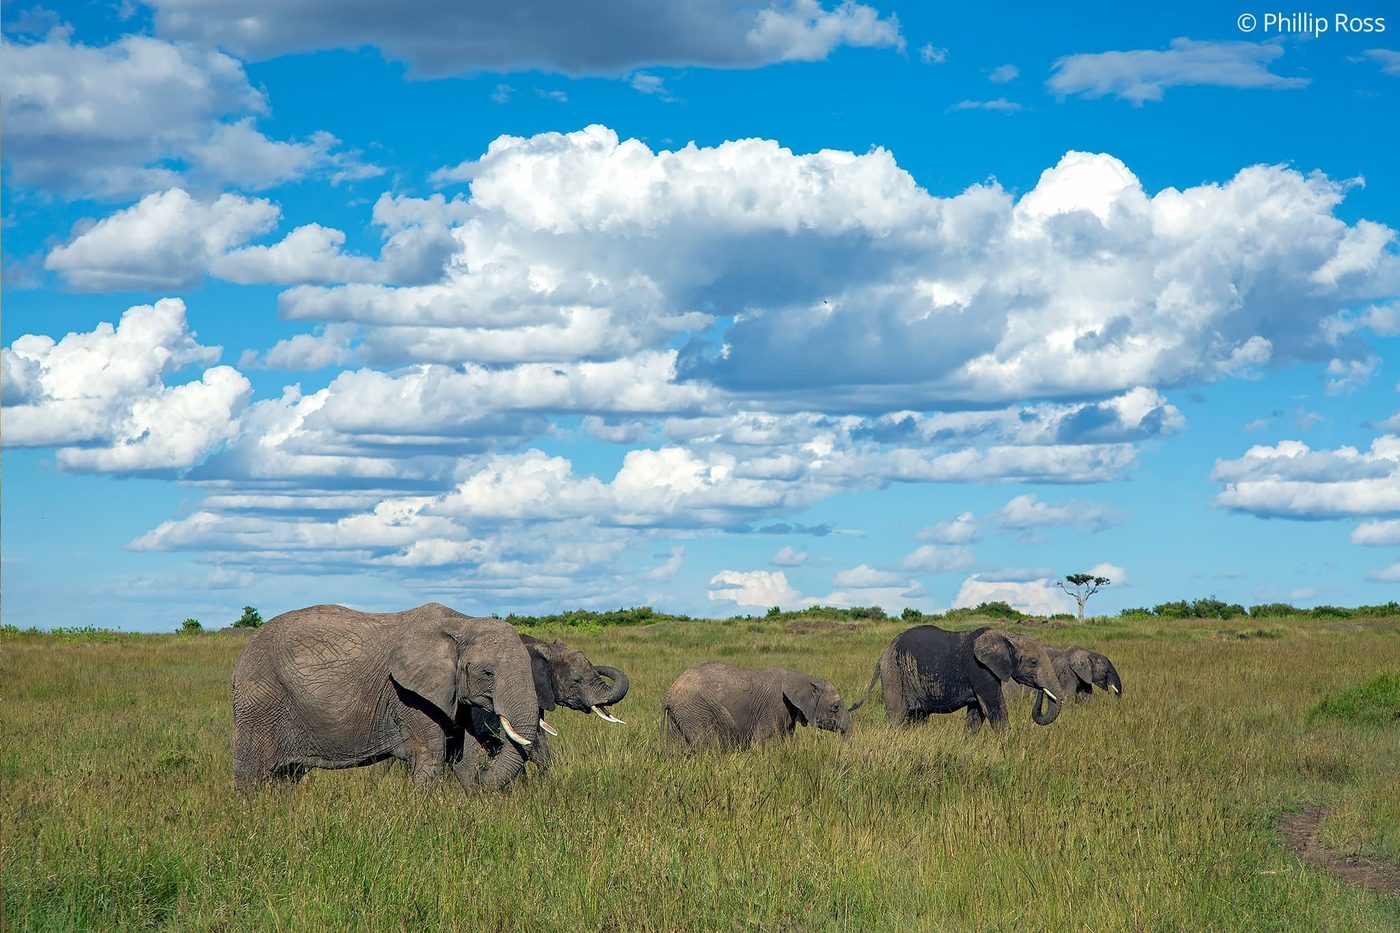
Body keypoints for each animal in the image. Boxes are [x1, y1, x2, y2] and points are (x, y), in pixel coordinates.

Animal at [232, 603, 539, 793]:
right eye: (488, 673)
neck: (462, 622)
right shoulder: (408, 696)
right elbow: (431, 755)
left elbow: (463, 758)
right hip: (259, 702)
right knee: (250, 773)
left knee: (287, 776)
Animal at [662, 661, 851, 752]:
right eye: (835, 706)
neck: (805, 678)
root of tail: (669, 693)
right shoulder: (774, 706)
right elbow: (763, 742)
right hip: (696, 711)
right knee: (710, 747)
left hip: (680, 716)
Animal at [848, 625, 1064, 732]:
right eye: (1033, 662)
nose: (1041, 691)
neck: (1007, 635)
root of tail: (882, 655)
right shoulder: (979, 669)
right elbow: (994, 709)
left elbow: (977, 714)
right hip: (894, 672)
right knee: (898, 716)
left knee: (917, 718)